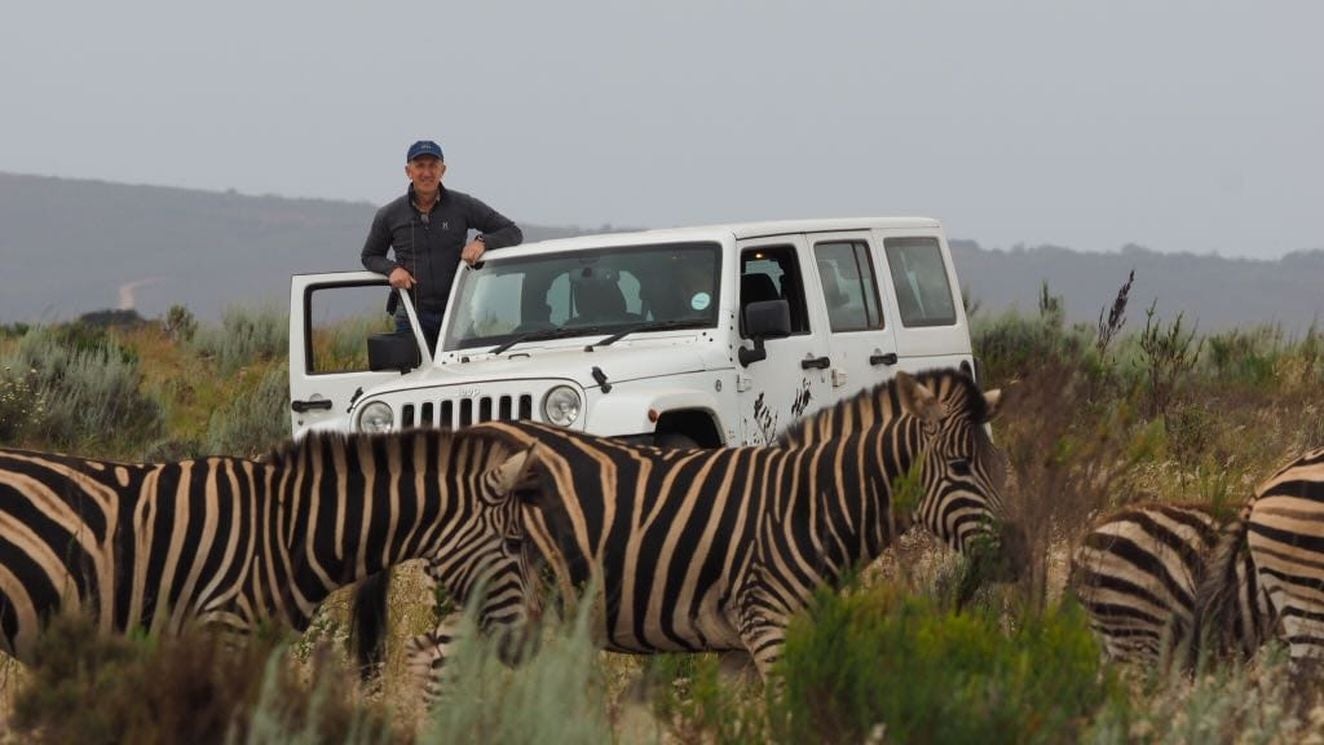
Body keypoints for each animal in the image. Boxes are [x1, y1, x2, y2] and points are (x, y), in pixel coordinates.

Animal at [360, 367, 1022, 688]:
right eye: (961, 468)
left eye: (1000, 463)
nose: (1018, 555)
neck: (809, 504)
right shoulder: (771, 626)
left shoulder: (736, 646)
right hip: (476, 592)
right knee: (437, 664)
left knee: (424, 657)